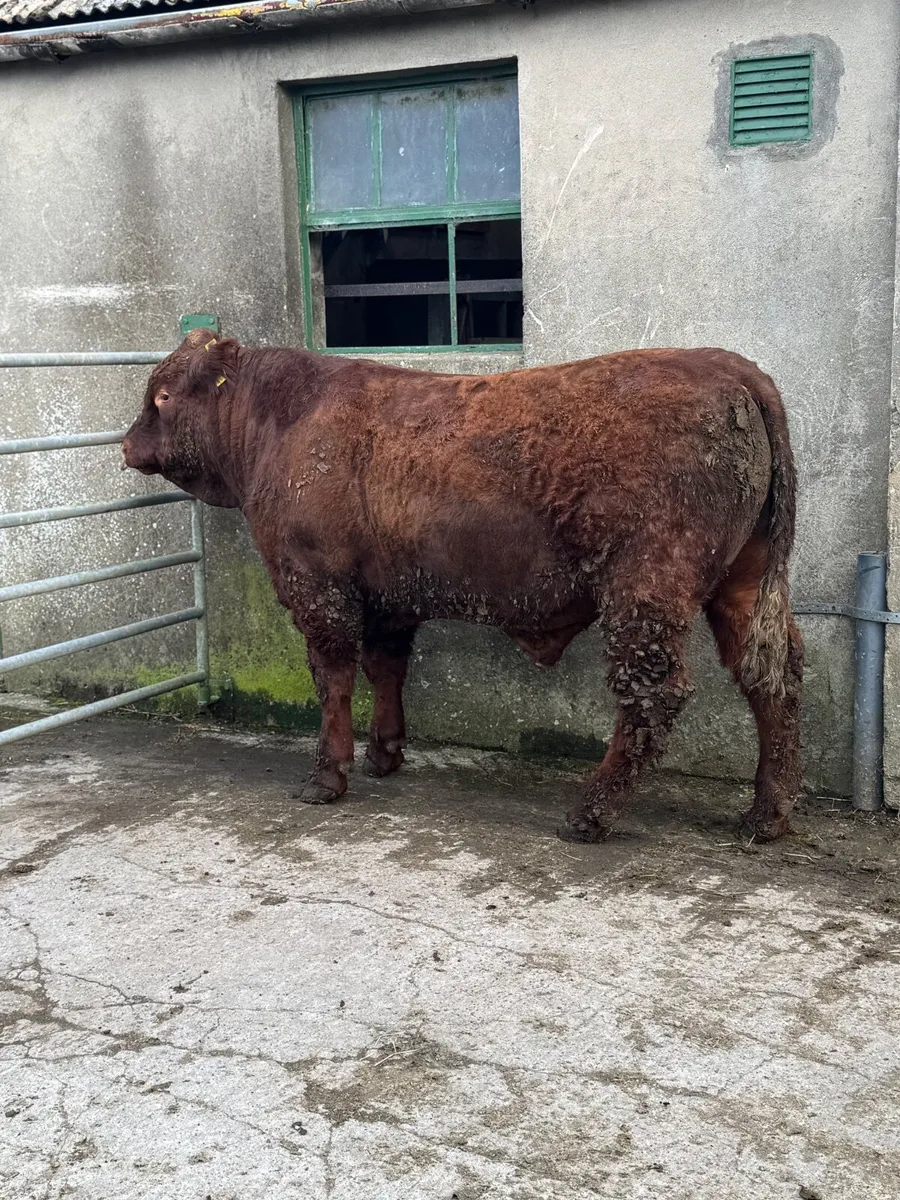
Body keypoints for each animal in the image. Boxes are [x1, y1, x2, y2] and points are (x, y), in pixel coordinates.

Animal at [123, 330, 802, 842]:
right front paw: (386, 754)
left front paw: (327, 777)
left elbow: (333, 678)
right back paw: (765, 815)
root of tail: (729, 366)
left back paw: (590, 814)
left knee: (654, 694)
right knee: (772, 674)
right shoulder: (389, 598)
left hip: (645, 588)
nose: (127, 444)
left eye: (163, 395)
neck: (280, 423)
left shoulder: (318, 587)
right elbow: (385, 668)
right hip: (744, 586)